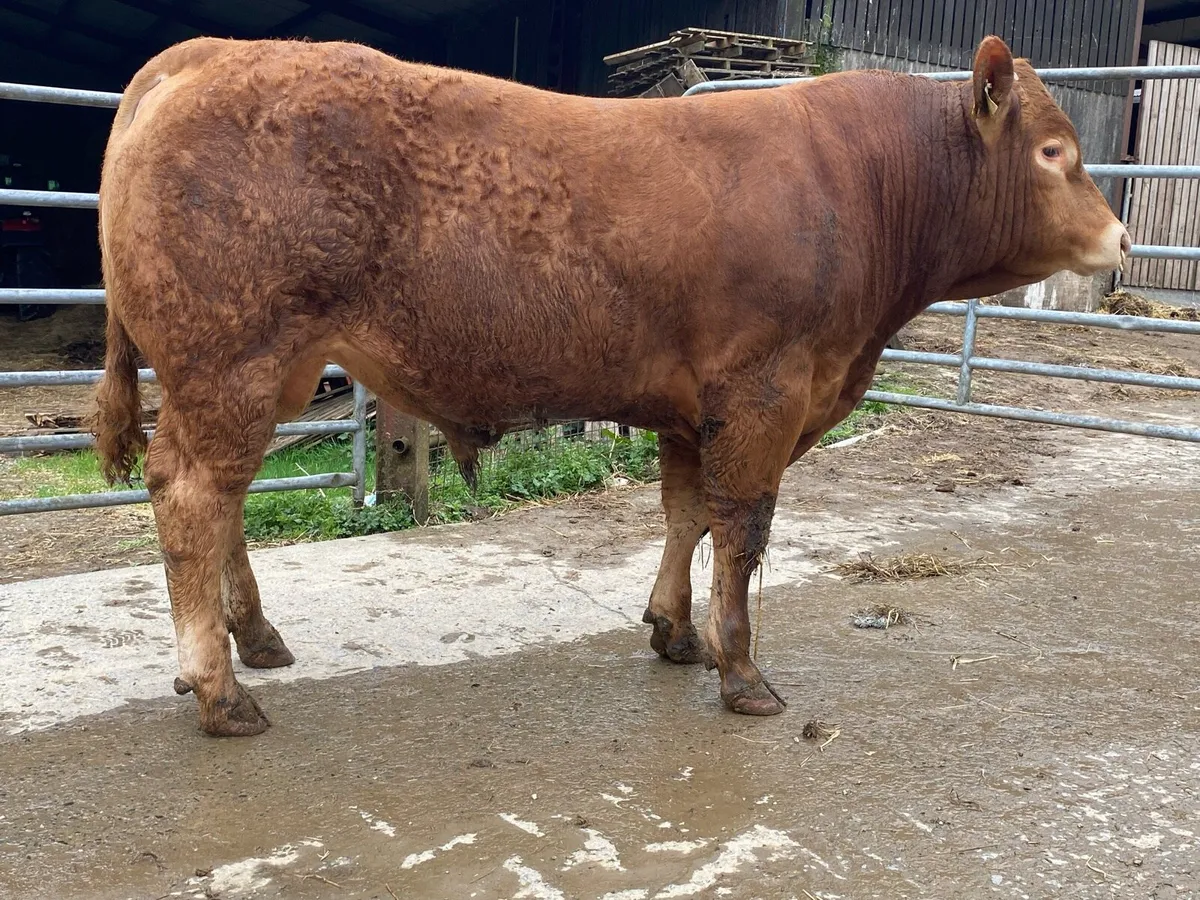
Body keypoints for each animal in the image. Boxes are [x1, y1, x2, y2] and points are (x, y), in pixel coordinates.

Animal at [93, 34, 1128, 736]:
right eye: (1053, 153)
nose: (1121, 241)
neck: (862, 184)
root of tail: (207, 54)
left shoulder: (692, 408)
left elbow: (687, 515)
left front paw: (674, 632)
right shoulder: (764, 393)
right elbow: (742, 532)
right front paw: (743, 674)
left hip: (266, 371)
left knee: (224, 500)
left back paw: (257, 638)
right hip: (231, 361)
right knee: (190, 492)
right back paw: (220, 689)